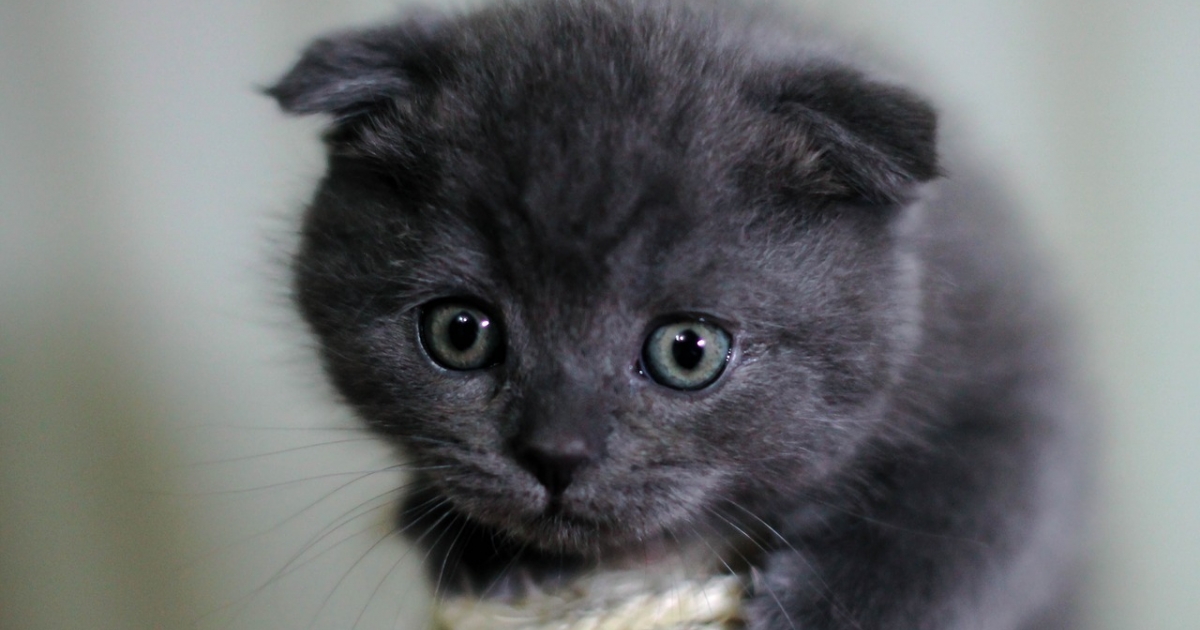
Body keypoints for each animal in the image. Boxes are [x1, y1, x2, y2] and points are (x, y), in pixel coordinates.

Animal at [270, 1, 1089, 624]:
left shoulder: (1019, 371)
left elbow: (985, 509)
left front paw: (836, 607)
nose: (556, 455)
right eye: (460, 333)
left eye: (688, 350)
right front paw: (479, 547)